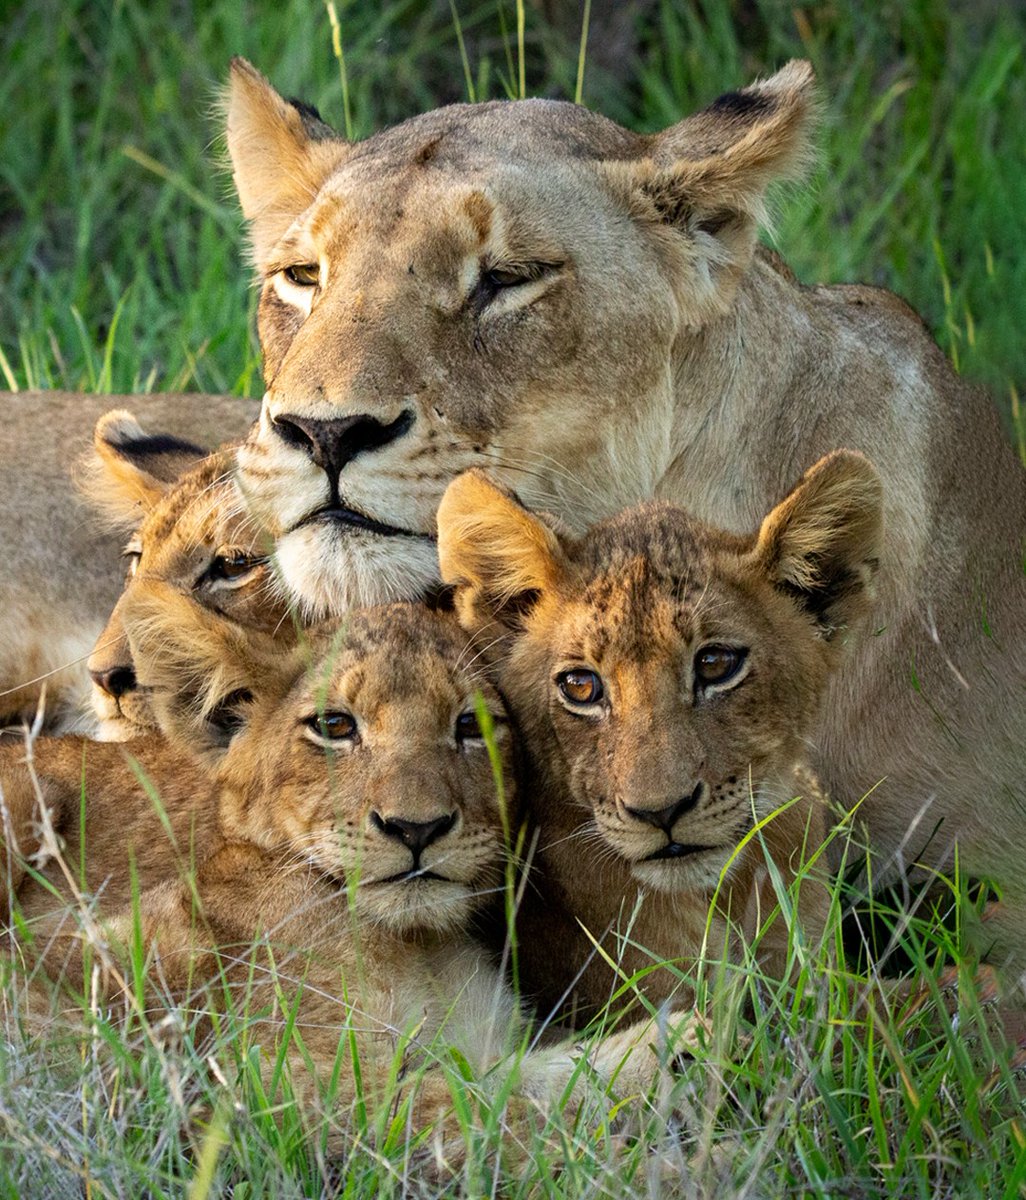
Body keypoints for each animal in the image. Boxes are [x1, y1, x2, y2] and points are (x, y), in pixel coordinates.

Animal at [2, 598, 698, 1159]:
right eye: (335, 726)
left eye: (472, 725)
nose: (417, 828)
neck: (419, 946)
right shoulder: (279, 1093)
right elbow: (486, 1113)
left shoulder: (480, 1035)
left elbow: (526, 1076)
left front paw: (680, 1051)